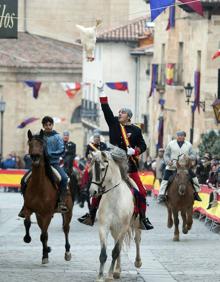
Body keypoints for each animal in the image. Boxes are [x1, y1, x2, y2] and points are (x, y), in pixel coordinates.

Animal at [22, 130, 73, 264]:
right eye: (30, 143)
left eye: (41, 144)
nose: (35, 157)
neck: (38, 186)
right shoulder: (30, 209)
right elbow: (27, 223)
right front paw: (28, 239)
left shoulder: (47, 213)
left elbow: (44, 235)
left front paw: (45, 254)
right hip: (40, 215)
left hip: (68, 212)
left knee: (66, 228)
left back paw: (67, 252)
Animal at [90, 148, 143, 282]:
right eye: (91, 169)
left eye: (102, 168)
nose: (92, 191)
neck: (114, 198)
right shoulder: (103, 227)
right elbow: (104, 253)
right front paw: (100, 276)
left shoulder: (124, 227)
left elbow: (115, 251)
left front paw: (108, 276)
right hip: (115, 229)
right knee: (118, 244)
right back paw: (117, 270)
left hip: (135, 224)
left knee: (137, 240)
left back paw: (137, 262)